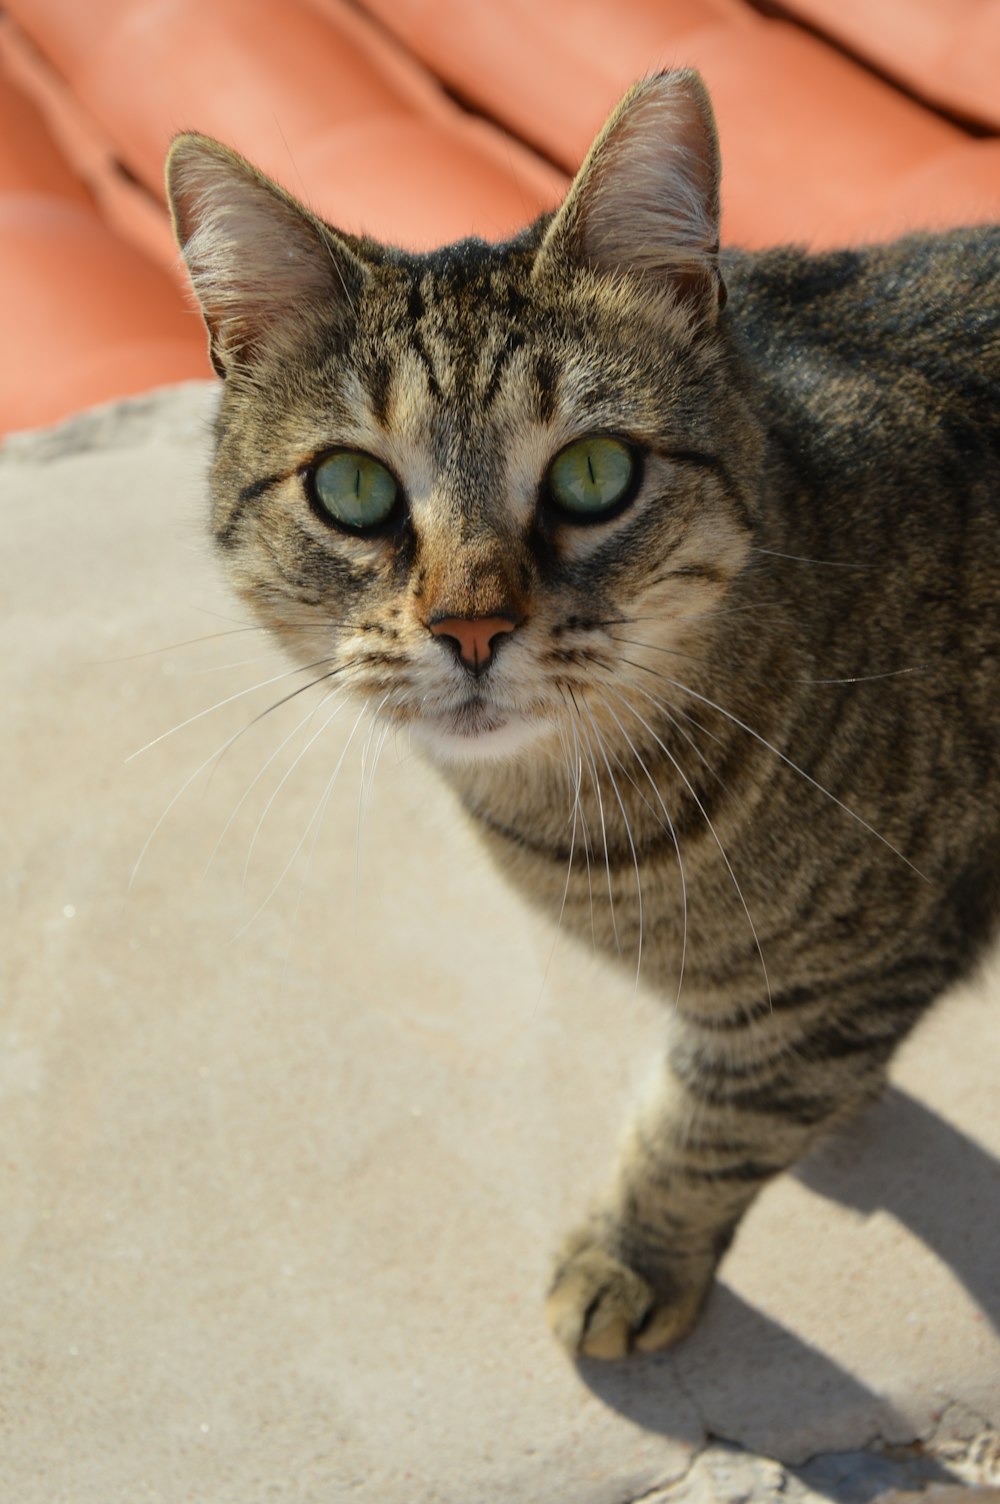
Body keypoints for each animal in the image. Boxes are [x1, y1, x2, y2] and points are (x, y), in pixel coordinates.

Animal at [163, 70, 998, 1365]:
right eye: (350, 487)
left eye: (594, 472)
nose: (468, 627)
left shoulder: (862, 964)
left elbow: (706, 1131)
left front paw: (628, 1257)